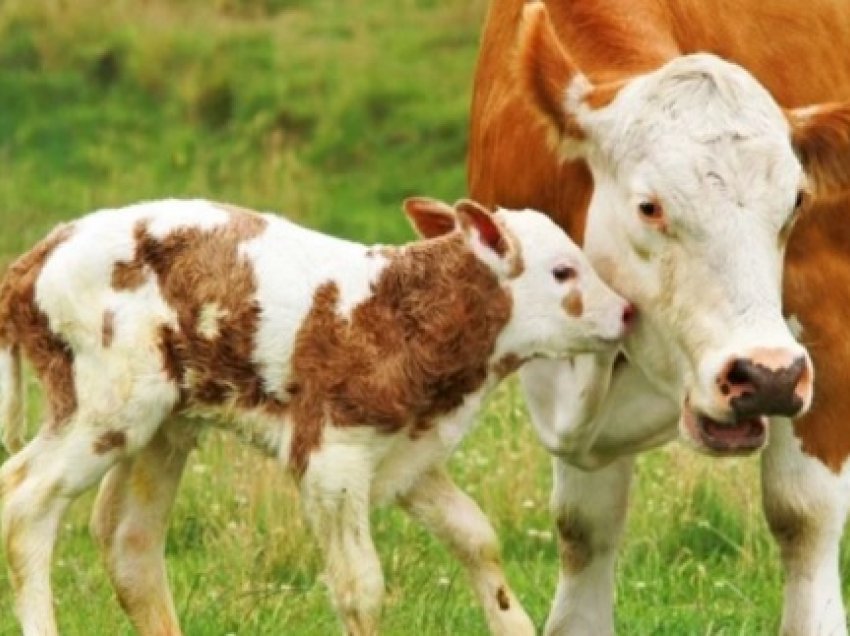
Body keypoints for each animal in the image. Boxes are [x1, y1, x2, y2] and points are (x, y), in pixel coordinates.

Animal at [0, 196, 628, 632]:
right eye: (564, 272)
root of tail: (35, 257)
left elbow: (477, 536)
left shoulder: (407, 450)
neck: (399, 312)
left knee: (129, 541)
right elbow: (361, 587)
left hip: (163, 425)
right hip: (107, 404)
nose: (626, 312)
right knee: (25, 501)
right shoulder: (333, 457)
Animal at [468, 1, 848, 636]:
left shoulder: (825, 325)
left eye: (796, 202)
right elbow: (583, 527)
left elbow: (804, 515)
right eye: (650, 207)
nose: (765, 376)